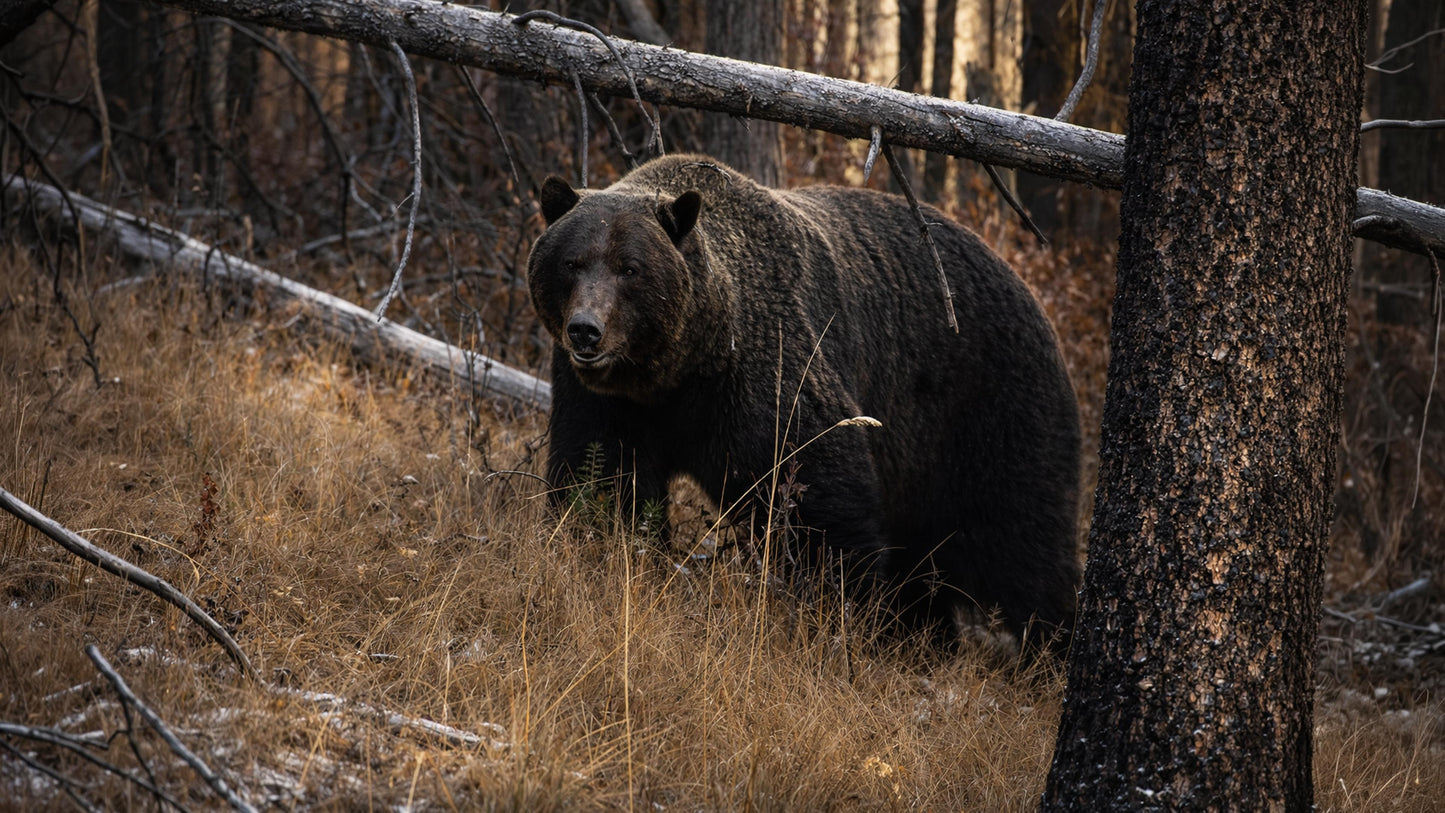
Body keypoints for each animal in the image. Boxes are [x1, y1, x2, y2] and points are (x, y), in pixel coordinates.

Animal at [526, 154, 1081, 653]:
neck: (681, 368)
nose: (586, 330)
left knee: (1023, 542)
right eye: (571, 262)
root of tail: (1028, 287)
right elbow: (601, 483)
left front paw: (840, 614)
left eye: (630, 268)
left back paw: (1048, 651)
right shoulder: (608, 401)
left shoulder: (763, 376)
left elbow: (818, 498)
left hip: (990, 409)